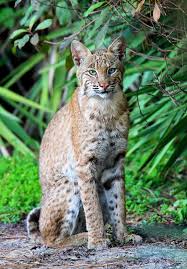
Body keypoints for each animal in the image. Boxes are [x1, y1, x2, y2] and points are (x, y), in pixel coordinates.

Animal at [26, 36, 140, 248]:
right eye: (92, 72)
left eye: (111, 70)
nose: (103, 86)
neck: (106, 106)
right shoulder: (84, 164)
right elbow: (91, 205)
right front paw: (97, 240)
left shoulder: (116, 161)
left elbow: (119, 203)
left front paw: (123, 236)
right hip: (69, 182)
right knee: (51, 240)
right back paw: (84, 237)